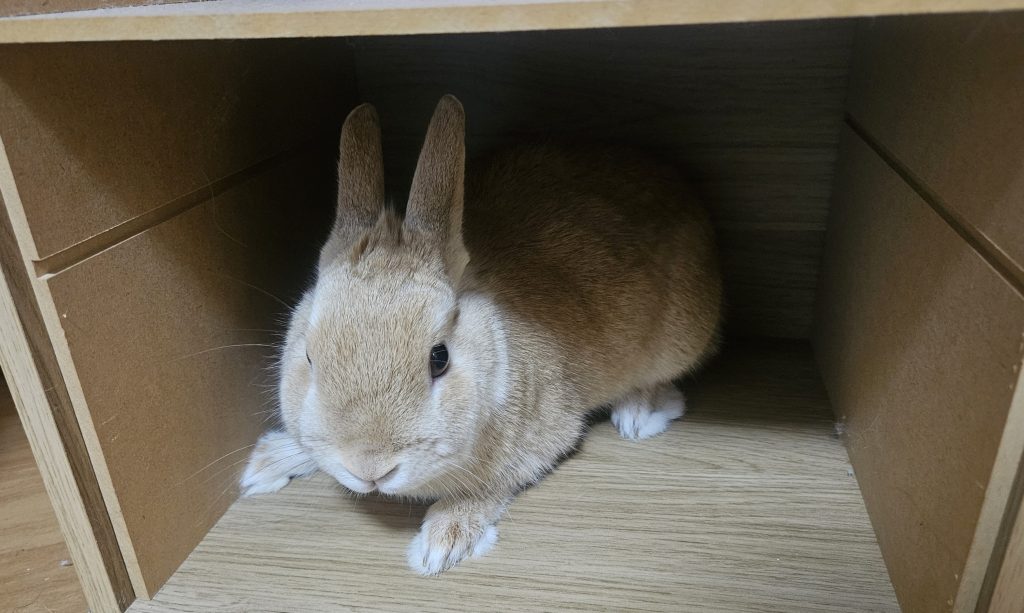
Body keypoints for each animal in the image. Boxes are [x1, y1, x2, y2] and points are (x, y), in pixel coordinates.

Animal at [240, 95, 722, 575]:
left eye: (439, 358)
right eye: (309, 358)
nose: (369, 469)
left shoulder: (542, 436)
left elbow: (489, 486)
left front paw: (441, 543)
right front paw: (267, 464)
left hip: (678, 340)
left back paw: (637, 415)